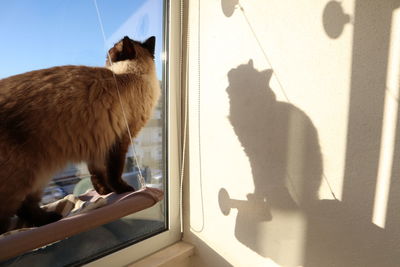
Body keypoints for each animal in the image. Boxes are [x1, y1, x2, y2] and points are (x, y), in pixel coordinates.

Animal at [0, 36, 159, 234]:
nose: (104, 57)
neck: (133, 75)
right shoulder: (119, 141)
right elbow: (114, 171)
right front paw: (123, 190)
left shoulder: (99, 144)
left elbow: (98, 174)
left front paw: (105, 192)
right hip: (27, 177)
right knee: (17, 210)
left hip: (35, 178)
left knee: (25, 208)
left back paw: (48, 219)